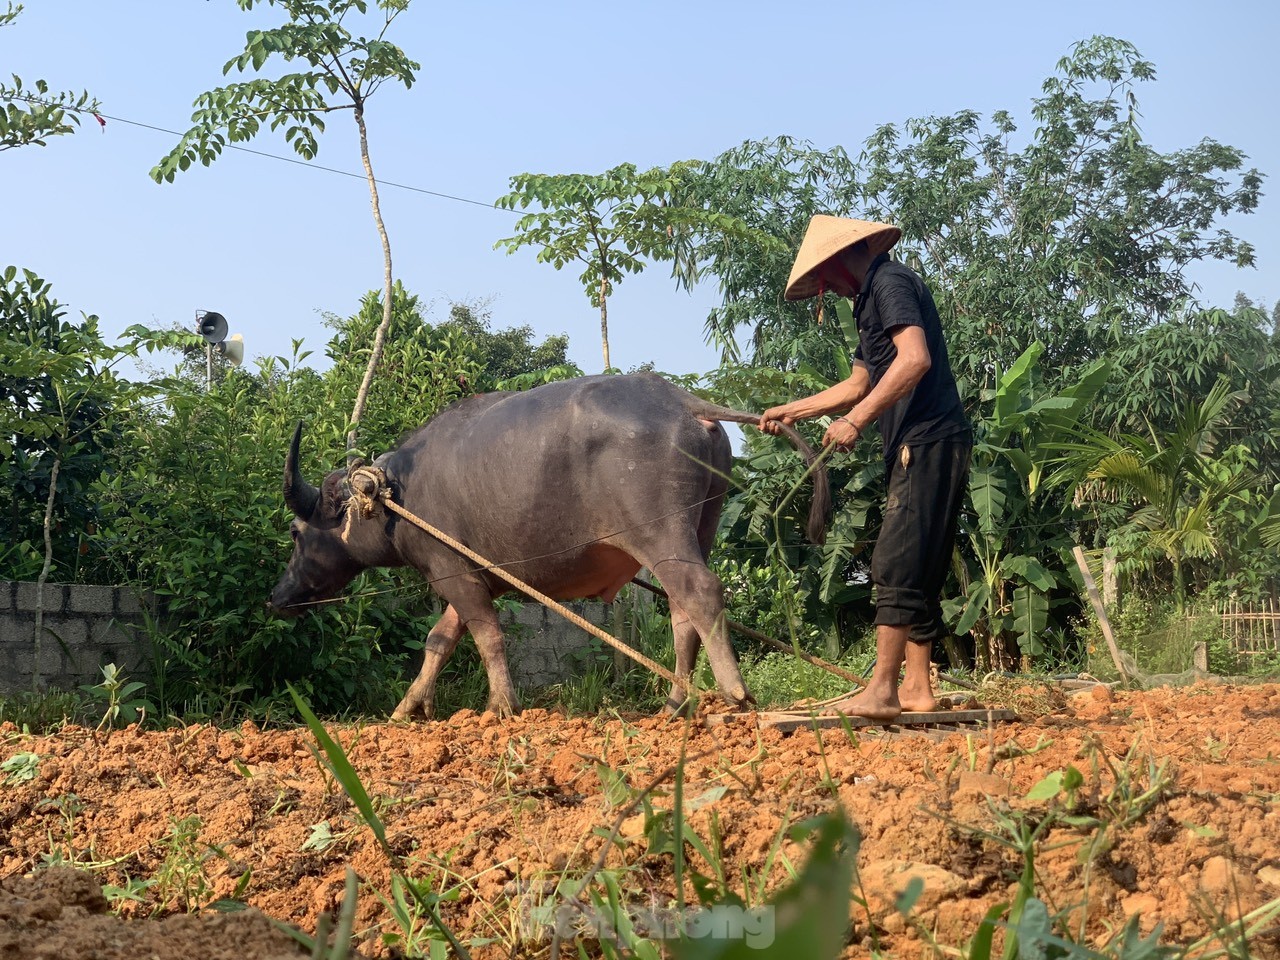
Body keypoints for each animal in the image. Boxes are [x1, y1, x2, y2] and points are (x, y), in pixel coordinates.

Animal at [268, 371, 829, 716]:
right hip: (701, 527)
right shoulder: (477, 577)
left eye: (296, 533)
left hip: (659, 533)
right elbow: (440, 639)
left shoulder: (452, 571)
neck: (395, 493)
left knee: (700, 592)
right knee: (680, 609)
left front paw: (501, 705)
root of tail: (682, 401)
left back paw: (732, 693)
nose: (277, 597)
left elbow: (486, 635)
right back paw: (675, 702)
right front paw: (409, 707)